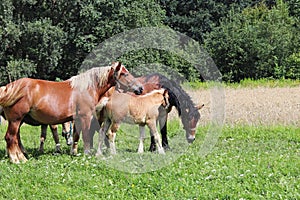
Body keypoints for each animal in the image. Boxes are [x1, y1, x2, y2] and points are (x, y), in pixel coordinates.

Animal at [0, 62, 143, 162]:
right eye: (125, 74)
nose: (140, 88)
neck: (88, 88)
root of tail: (9, 87)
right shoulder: (86, 117)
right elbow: (86, 135)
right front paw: (87, 153)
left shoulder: (77, 119)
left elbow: (75, 135)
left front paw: (74, 152)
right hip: (16, 119)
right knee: (10, 138)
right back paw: (16, 159)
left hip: (18, 120)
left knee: (15, 138)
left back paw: (21, 157)